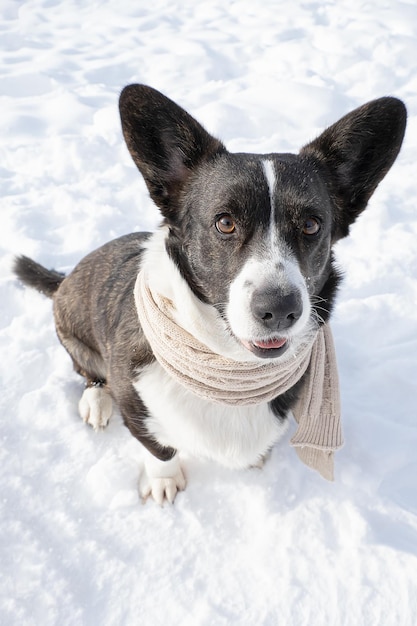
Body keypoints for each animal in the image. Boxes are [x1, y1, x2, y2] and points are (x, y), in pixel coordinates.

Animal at [13, 85, 406, 502]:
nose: (280, 310)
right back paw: (95, 402)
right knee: (88, 373)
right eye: (225, 223)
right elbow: (159, 448)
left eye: (312, 225)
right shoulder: (137, 408)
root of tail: (65, 277)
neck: (229, 364)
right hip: (74, 335)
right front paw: (163, 482)